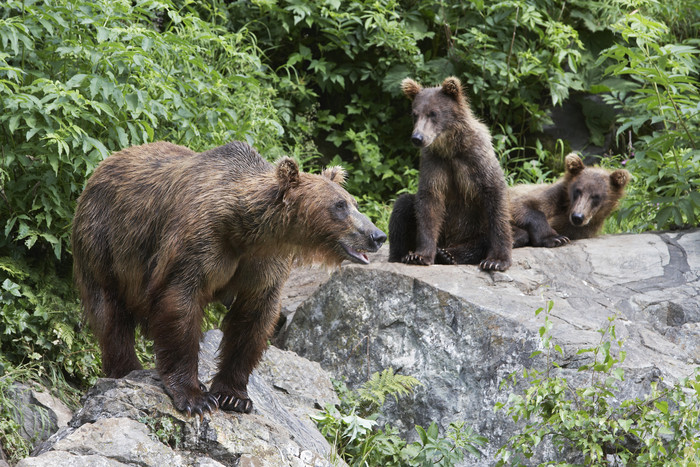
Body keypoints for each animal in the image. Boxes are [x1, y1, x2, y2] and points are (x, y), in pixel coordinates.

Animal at [73, 142, 386, 416]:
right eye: (339, 206)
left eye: (354, 203)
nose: (377, 235)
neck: (247, 231)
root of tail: (102, 165)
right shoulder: (199, 244)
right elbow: (180, 304)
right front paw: (195, 397)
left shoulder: (265, 264)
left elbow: (253, 319)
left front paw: (233, 396)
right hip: (105, 241)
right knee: (110, 313)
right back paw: (126, 368)